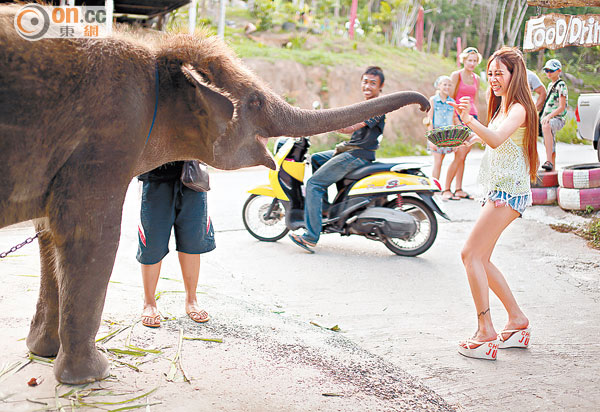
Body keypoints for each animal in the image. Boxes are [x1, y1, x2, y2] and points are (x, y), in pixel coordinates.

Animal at [1, 3, 432, 384]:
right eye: (255, 100)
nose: (426, 107)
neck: (159, 58)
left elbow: (48, 235)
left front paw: (43, 353)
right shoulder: (108, 139)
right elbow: (90, 236)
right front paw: (91, 376)